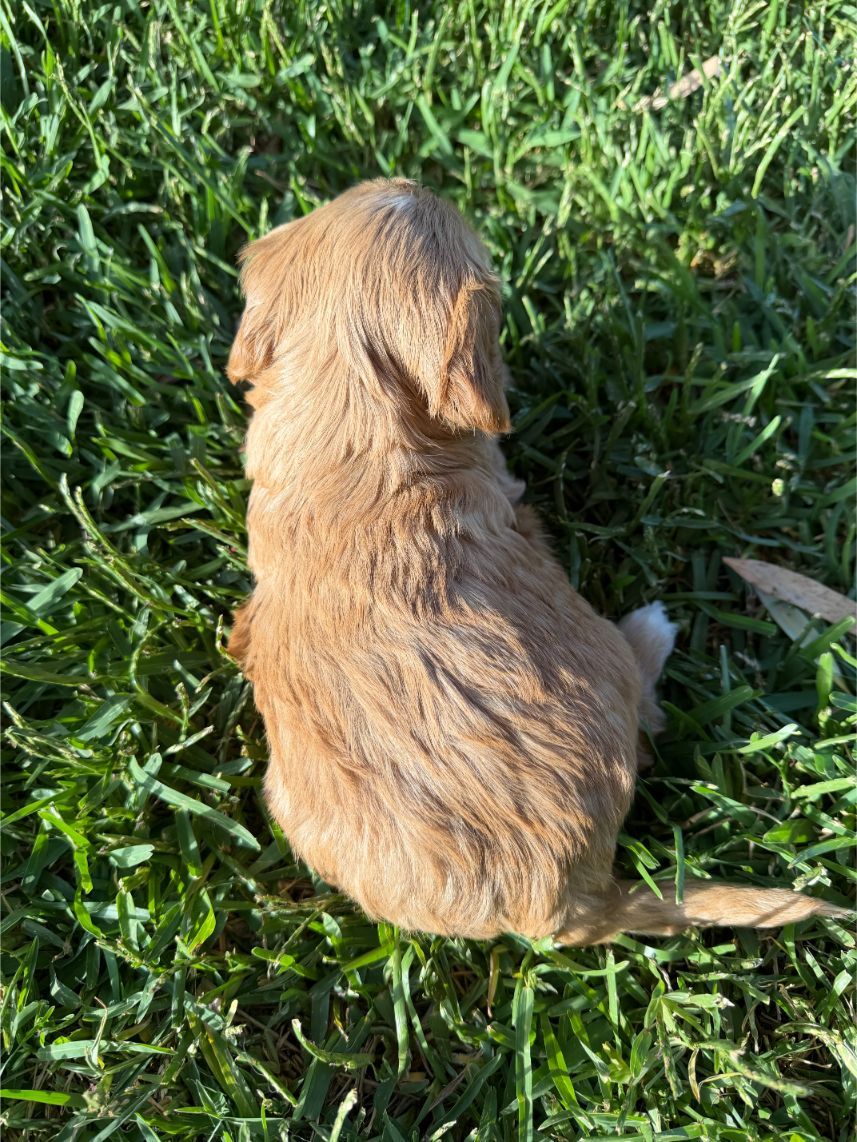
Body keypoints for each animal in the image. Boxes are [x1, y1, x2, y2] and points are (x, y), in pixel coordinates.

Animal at [226, 178, 842, 944]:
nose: (419, 180)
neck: (350, 432)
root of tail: (564, 906)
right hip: (605, 663)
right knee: (646, 710)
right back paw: (653, 628)